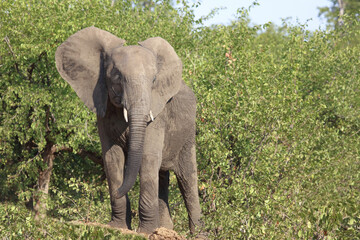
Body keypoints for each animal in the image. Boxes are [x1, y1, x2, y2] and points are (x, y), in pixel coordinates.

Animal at [55, 26, 202, 234]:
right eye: (117, 77)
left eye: (154, 79)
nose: (116, 192)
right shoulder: (103, 110)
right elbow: (112, 157)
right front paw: (118, 226)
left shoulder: (157, 115)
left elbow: (147, 158)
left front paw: (145, 232)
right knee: (163, 175)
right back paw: (165, 230)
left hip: (188, 133)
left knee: (187, 178)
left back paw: (197, 233)